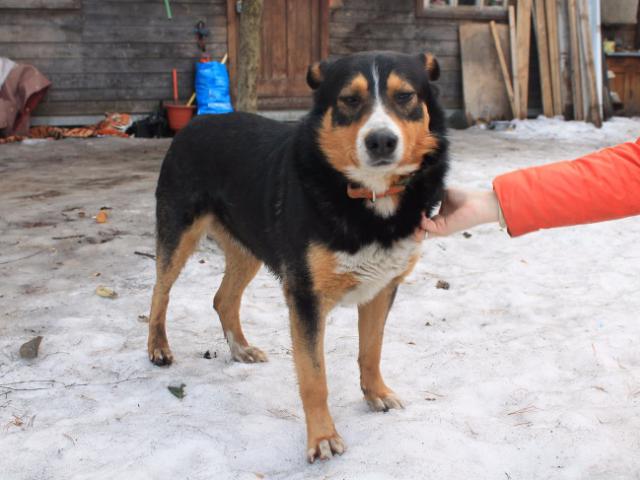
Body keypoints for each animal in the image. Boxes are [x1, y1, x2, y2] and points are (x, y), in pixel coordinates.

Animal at [148, 50, 448, 464]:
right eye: (349, 100)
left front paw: (376, 394)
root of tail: (198, 122)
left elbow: (371, 351)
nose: (381, 141)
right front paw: (322, 437)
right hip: (178, 233)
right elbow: (314, 377)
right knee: (159, 293)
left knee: (223, 298)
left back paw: (240, 348)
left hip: (249, 247)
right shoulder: (305, 296)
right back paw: (158, 348)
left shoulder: (382, 288)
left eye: (405, 96)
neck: (367, 197)